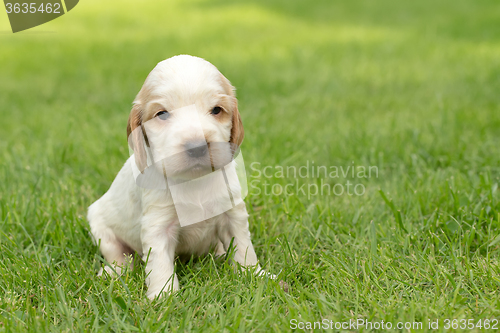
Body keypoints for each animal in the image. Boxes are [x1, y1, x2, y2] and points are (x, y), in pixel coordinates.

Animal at [88, 54, 268, 298]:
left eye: (217, 110)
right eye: (162, 113)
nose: (197, 147)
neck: (194, 180)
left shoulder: (232, 213)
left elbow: (243, 246)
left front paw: (256, 275)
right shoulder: (158, 224)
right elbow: (160, 263)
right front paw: (163, 296)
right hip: (99, 224)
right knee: (119, 256)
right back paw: (112, 272)